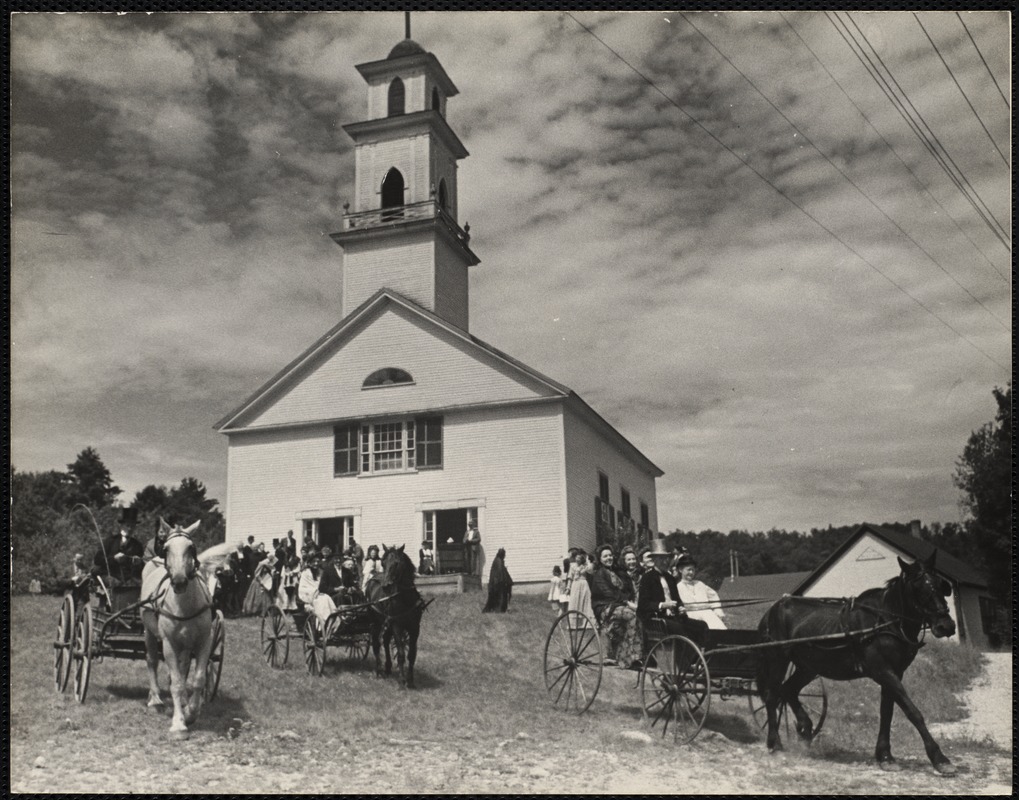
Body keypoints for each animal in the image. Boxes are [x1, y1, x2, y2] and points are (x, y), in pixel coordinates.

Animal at [141, 517, 215, 737]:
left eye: (191, 547)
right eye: (166, 549)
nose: (180, 581)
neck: (184, 606)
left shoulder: (204, 641)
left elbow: (196, 679)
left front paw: (191, 711)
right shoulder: (169, 644)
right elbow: (176, 683)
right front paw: (178, 723)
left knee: (183, 669)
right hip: (149, 632)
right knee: (152, 661)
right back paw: (155, 698)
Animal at [366, 546, 425, 688]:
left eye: (397, 563)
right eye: (382, 563)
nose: (386, 586)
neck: (406, 598)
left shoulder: (415, 627)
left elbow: (412, 654)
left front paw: (411, 680)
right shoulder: (397, 625)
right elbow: (401, 653)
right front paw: (402, 680)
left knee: (386, 641)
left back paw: (387, 668)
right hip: (376, 622)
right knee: (377, 643)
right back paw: (379, 670)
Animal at [758, 554, 961, 770]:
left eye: (941, 585)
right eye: (918, 588)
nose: (946, 626)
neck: (885, 620)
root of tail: (771, 610)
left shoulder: (895, 672)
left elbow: (887, 712)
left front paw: (885, 756)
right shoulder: (883, 671)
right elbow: (912, 711)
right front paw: (940, 758)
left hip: (808, 667)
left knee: (788, 690)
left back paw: (805, 730)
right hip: (778, 659)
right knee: (772, 696)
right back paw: (775, 744)